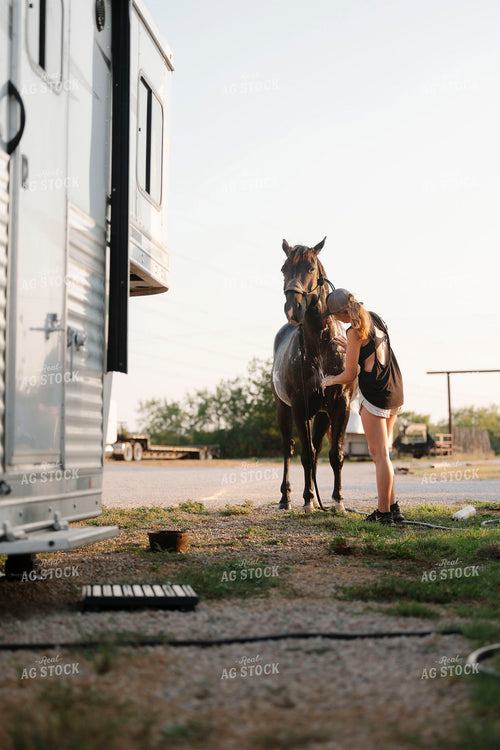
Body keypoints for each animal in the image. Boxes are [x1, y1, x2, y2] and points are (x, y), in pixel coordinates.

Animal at [271, 237, 353, 513]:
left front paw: (337, 501)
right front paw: (307, 499)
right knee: (288, 449)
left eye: (310, 268)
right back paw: (286, 499)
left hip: (322, 414)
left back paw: (318, 500)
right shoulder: (299, 406)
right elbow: (305, 454)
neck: (320, 345)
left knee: (317, 449)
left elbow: (334, 454)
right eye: (283, 268)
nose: (293, 309)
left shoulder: (339, 406)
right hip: (283, 408)